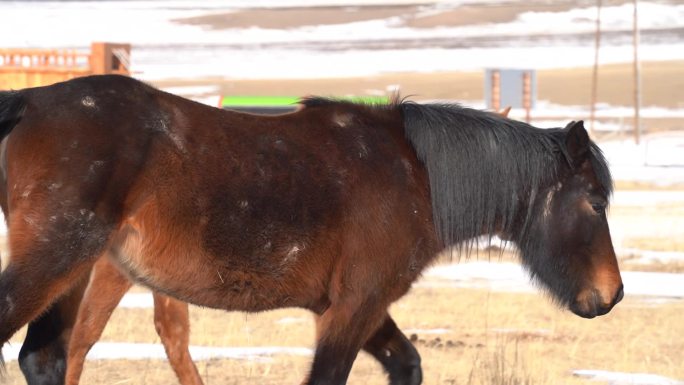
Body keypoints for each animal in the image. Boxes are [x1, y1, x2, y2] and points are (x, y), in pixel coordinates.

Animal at [0, 73, 620, 382]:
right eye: (594, 202)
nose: (611, 295)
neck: (413, 174)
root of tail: (28, 102)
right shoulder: (352, 309)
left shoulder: (358, 307)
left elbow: (408, 365)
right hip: (56, 262)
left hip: (76, 272)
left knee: (47, 359)